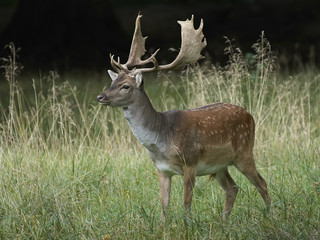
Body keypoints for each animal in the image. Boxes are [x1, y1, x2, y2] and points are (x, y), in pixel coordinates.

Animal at [97, 12, 270, 219]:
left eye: (125, 86)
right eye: (112, 83)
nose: (101, 96)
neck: (162, 139)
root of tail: (250, 116)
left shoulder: (190, 161)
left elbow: (186, 202)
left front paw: (189, 224)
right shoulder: (161, 170)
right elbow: (164, 206)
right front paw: (164, 226)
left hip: (244, 151)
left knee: (262, 183)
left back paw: (271, 216)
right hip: (220, 165)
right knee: (233, 188)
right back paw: (224, 221)